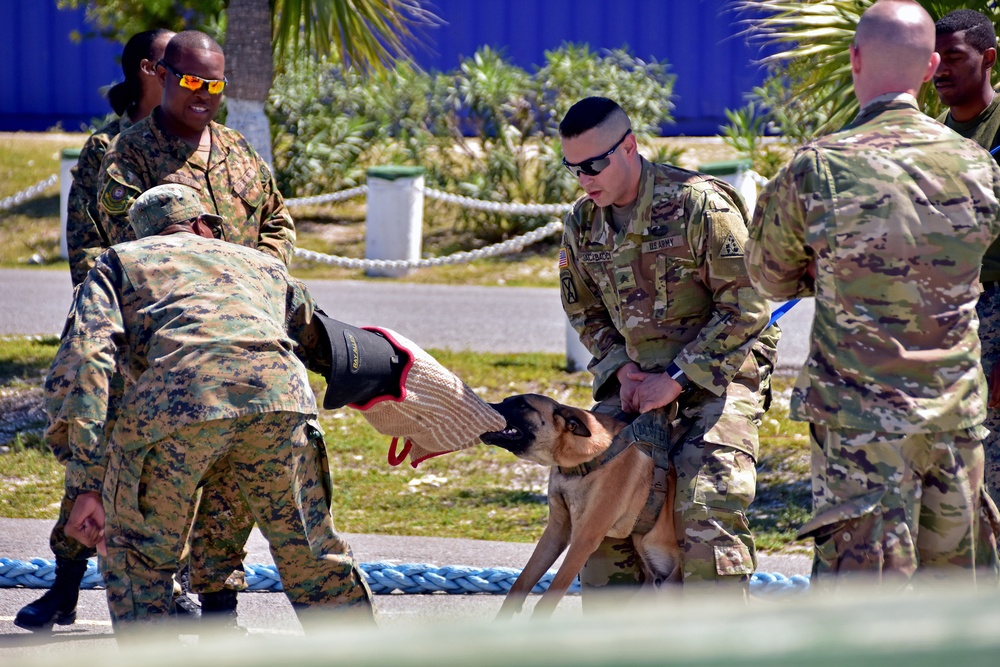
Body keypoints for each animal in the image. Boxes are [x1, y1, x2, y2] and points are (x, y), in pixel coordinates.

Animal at [480, 394, 684, 620]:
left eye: (522, 404)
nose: (485, 406)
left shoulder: (584, 540)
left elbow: (550, 595)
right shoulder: (556, 532)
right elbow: (521, 582)